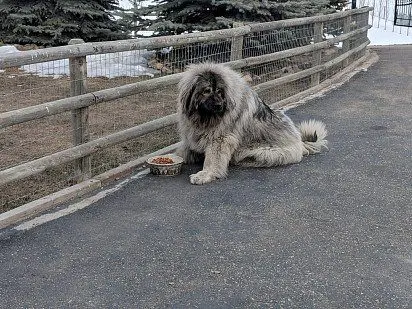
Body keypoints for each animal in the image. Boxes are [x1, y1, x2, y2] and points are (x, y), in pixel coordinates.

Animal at [175, 61, 326, 184]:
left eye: (220, 91)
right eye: (206, 91)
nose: (219, 105)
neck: (204, 118)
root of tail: (300, 141)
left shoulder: (220, 139)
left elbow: (212, 160)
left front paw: (205, 174)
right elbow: (184, 150)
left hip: (267, 152)